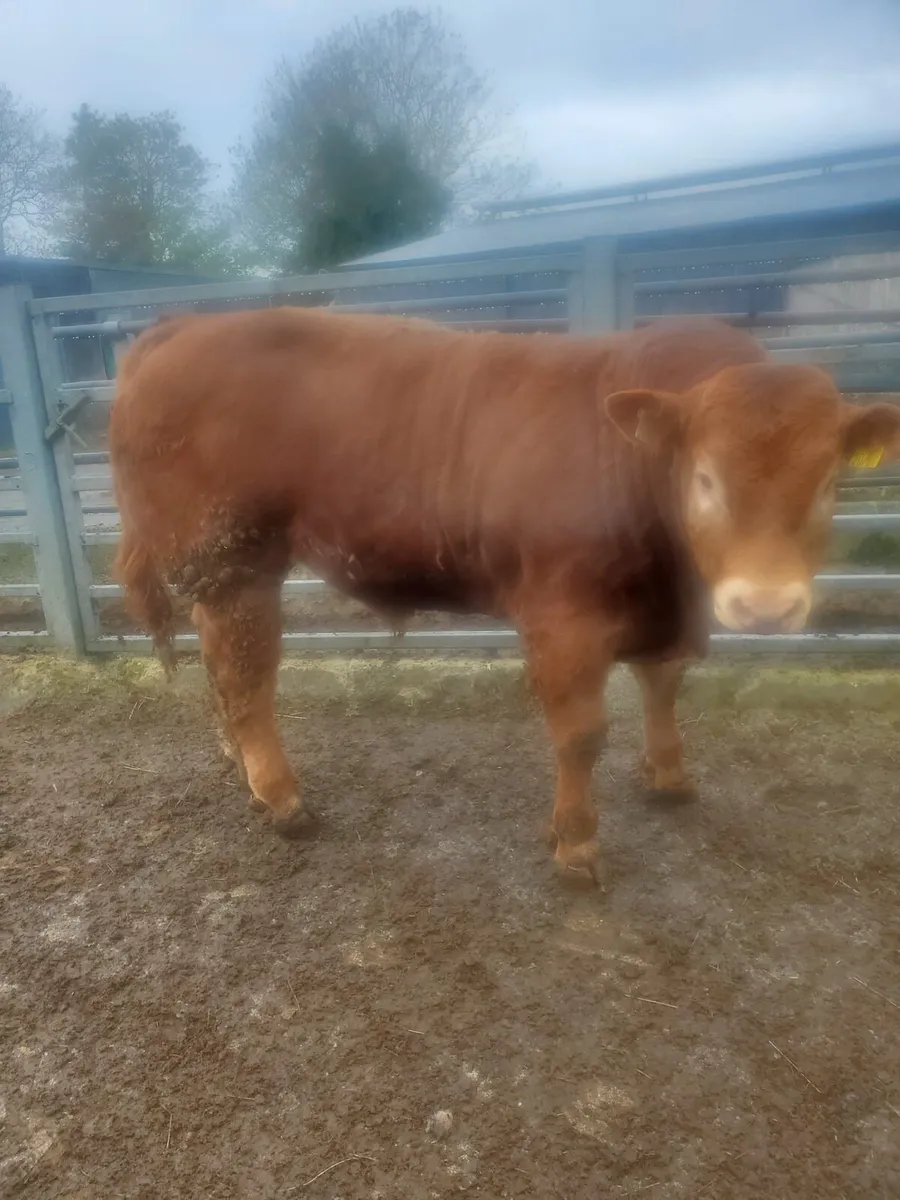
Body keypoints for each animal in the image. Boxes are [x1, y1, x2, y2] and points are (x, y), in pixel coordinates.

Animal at [108, 309, 900, 881]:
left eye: (828, 483)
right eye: (705, 478)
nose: (766, 605)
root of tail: (185, 325)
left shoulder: (660, 608)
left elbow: (662, 683)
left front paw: (669, 774)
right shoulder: (564, 616)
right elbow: (581, 734)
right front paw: (576, 844)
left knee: (220, 666)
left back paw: (238, 764)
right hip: (233, 560)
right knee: (245, 672)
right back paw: (280, 797)